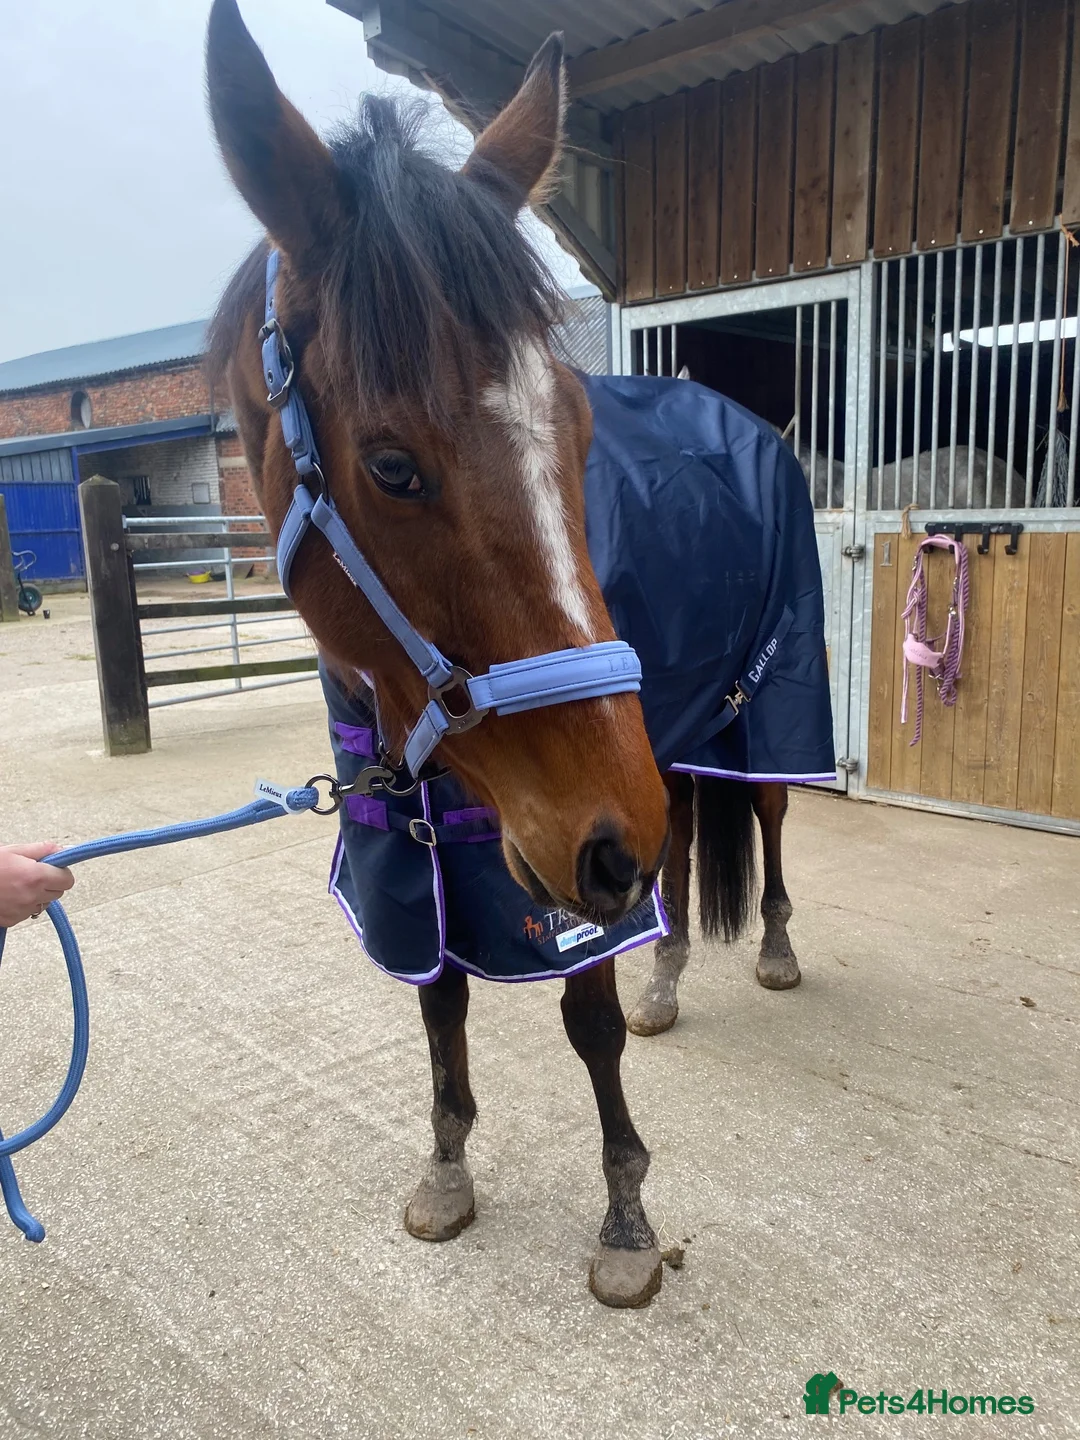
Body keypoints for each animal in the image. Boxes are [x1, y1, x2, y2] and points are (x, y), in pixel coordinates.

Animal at [205, 0, 832, 1307]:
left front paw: (627, 1223)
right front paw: (447, 1169)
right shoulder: (423, 846)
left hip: (752, 713)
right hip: (665, 745)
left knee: (762, 817)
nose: (606, 848)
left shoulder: (559, 852)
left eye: (581, 432)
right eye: (392, 466)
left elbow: (584, 1026)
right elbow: (438, 998)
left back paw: (774, 950)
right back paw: (670, 973)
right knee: (680, 838)